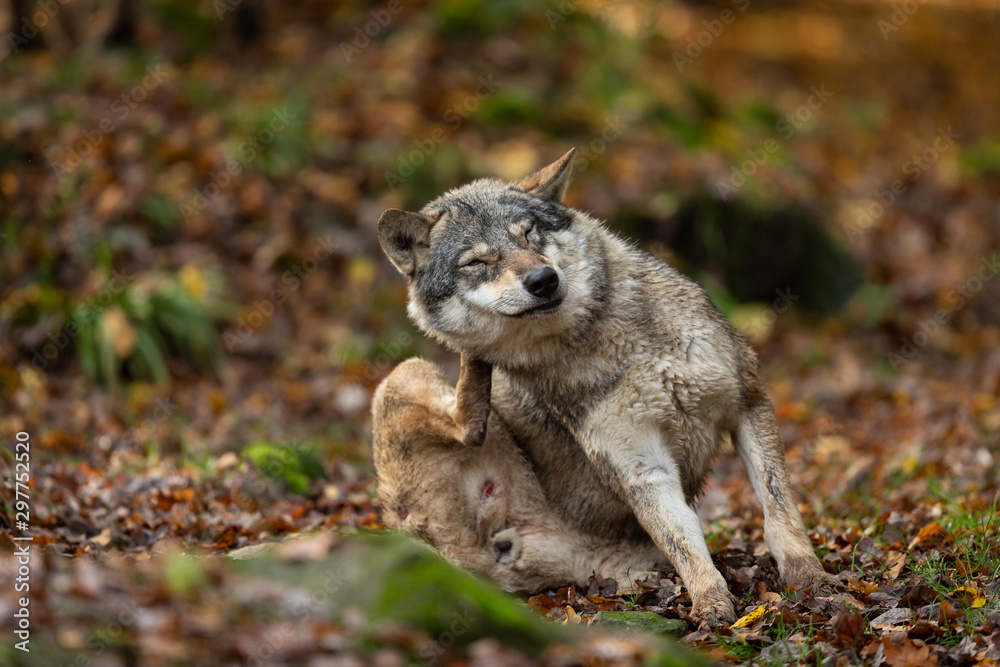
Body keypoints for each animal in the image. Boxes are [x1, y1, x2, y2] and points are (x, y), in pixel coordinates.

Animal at [375, 149, 840, 622]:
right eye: (476, 262)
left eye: (530, 234)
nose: (542, 280)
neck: (616, 348)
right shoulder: (642, 468)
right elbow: (687, 546)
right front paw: (713, 607)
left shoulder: (749, 402)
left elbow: (778, 509)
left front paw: (810, 580)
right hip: (405, 372)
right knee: (466, 422)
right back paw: (474, 356)